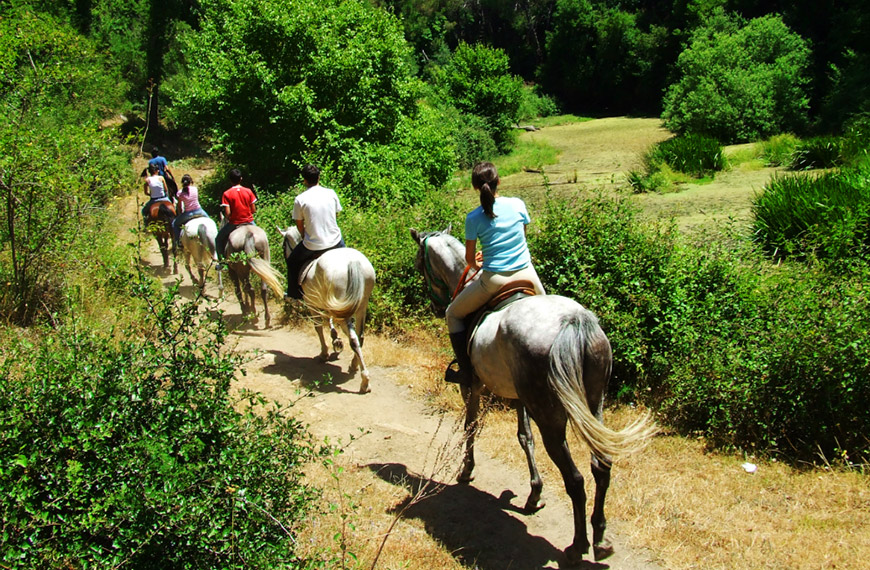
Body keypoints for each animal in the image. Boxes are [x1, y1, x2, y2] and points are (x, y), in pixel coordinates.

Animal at [280, 224, 374, 392]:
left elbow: (318, 327)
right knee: (360, 336)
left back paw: (365, 381)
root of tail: (353, 262)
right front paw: (335, 339)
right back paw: (354, 365)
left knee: (353, 339)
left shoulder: (311, 304)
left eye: (284, 245)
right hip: (360, 306)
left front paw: (324, 353)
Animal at [410, 227, 656, 564]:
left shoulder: (474, 386)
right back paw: (600, 538)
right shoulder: (520, 397)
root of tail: (573, 322)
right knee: (601, 466)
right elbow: (524, 437)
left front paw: (466, 470)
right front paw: (534, 493)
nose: (436, 306)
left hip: (549, 415)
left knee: (575, 479)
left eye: (420, 264)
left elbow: (472, 426)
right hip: (593, 404)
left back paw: (578, 545)